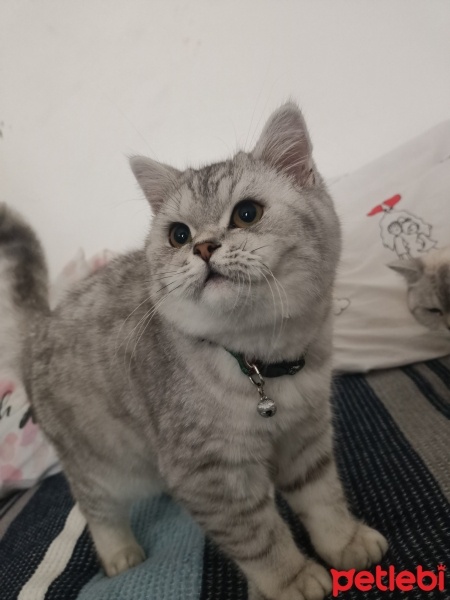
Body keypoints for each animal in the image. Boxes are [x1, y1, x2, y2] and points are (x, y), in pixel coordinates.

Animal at [23, 105, 386, 600]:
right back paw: (119, 552)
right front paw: (292, 579)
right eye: (178, 235)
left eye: (247, 213)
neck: (261, 362)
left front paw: (345, 541)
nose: (203, 246)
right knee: (95, 507)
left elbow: (322, 496)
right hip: (99, 461)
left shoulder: (306, 435)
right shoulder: (210, 475)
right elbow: (260, 538)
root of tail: (41, 323)